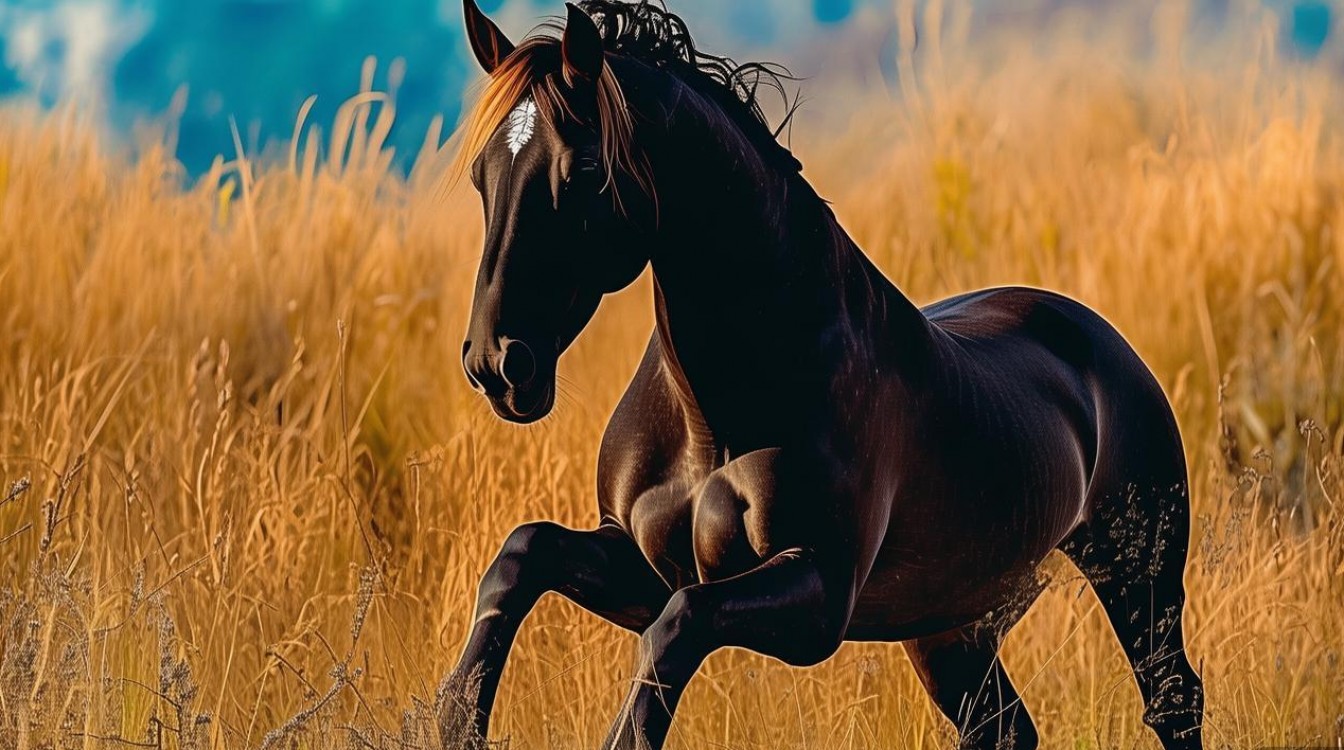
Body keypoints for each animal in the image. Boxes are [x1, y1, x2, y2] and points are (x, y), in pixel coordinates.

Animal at [439, 2, 1205, 748]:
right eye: (481, 177)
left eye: (583, 173)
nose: (498, 364)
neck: (712, 420)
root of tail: (1103, 344)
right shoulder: (640, 561)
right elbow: (523, 553)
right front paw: (455, 718)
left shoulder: (816, 594)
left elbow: (677, 627)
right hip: (950, 627)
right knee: (1005, 728)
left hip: (1139, 579)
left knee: (1174, 701)